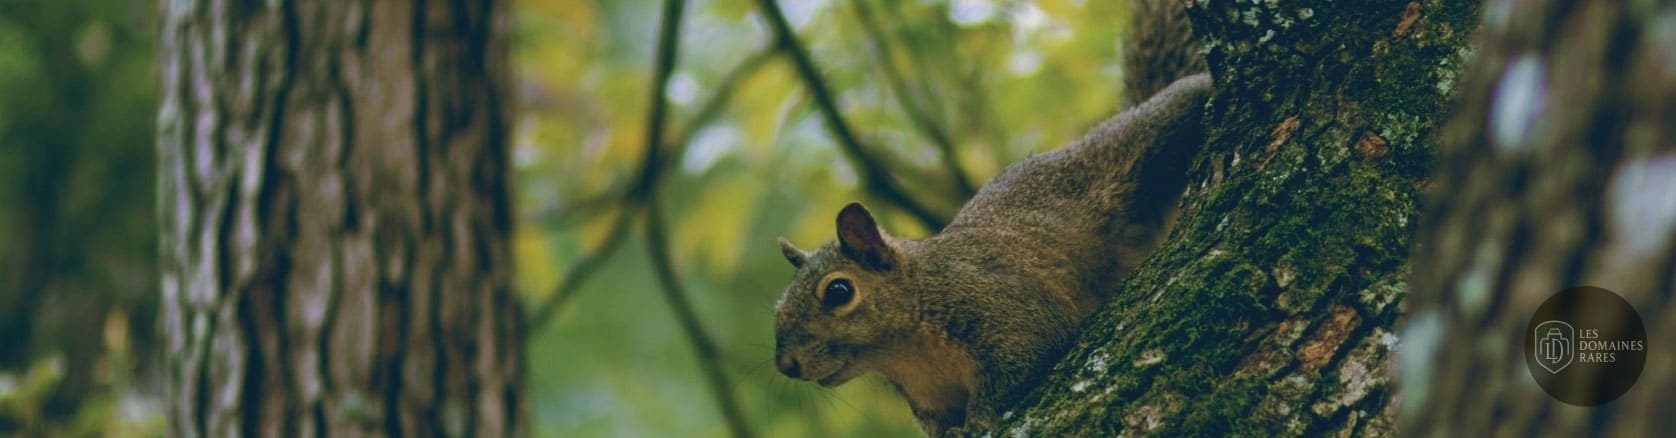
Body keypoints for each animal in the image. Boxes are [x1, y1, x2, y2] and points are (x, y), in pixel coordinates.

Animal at [771, 1, 1208, 435]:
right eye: (777, 309)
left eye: (838, 291)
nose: (787, 365)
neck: (907, 351)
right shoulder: (929, 402)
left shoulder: (1004, 305)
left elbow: (1021, 357)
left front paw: (978, 420)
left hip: (1137, 141)